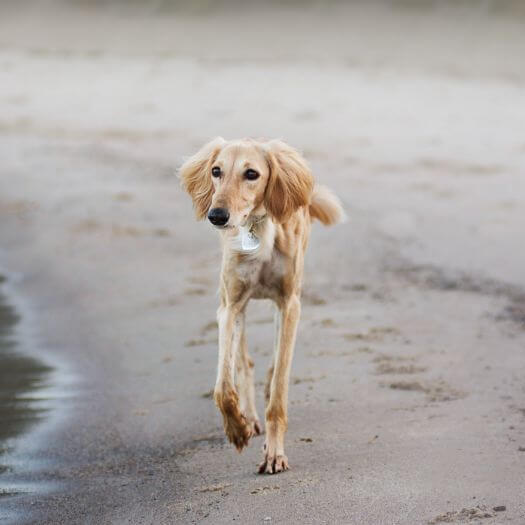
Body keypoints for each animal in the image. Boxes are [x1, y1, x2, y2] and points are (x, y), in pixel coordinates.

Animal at [180, 137, 344, 472]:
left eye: (252, 174)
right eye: (216, 171)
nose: (217, 216)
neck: (258, 228)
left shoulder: (289, 304)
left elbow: (279, 387)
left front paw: (274, 452)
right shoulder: (229, 306)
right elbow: (222, 387)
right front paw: (237, 428)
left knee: (271, 366)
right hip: (239, 308)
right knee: (244, 362)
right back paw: (248, 417)